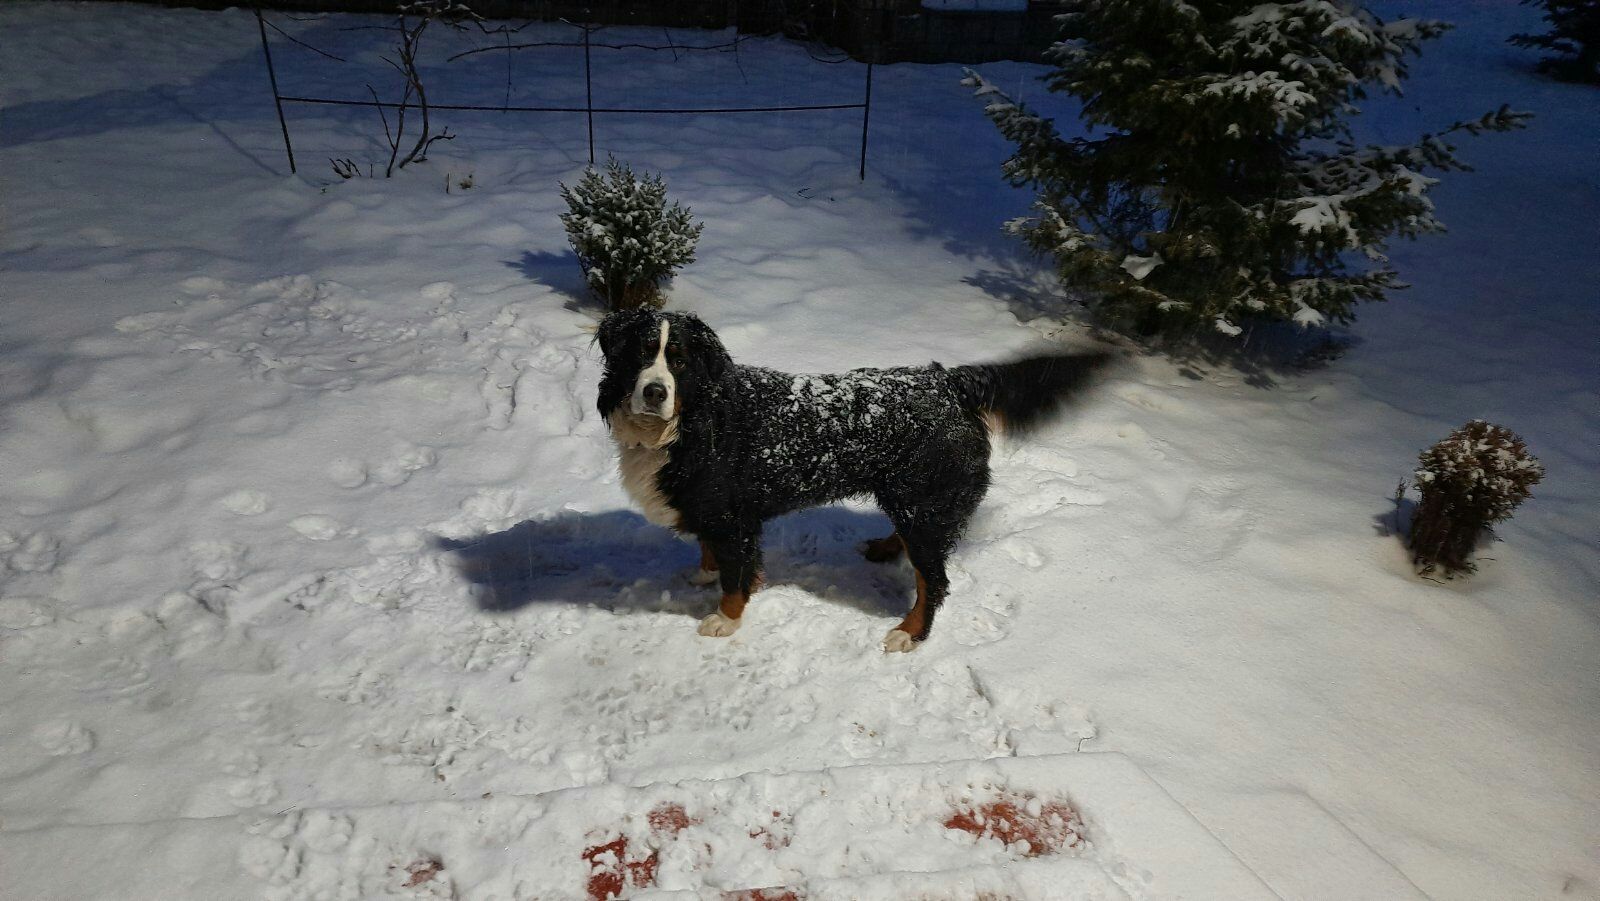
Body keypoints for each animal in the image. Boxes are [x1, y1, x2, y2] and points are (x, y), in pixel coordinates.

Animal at [595, 310, 1107, 656]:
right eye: (641, 353)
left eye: (679, 363)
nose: (654, 392)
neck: (691, 422)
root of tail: (949, 383)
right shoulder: (711, 507)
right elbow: (711, 549)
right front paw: (705, 572)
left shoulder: (734, 517)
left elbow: (737, 578)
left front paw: (725, 620)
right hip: (912, 502)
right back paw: (885, 547)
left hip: (924, 503)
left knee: (934, 581)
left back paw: (910, 633)